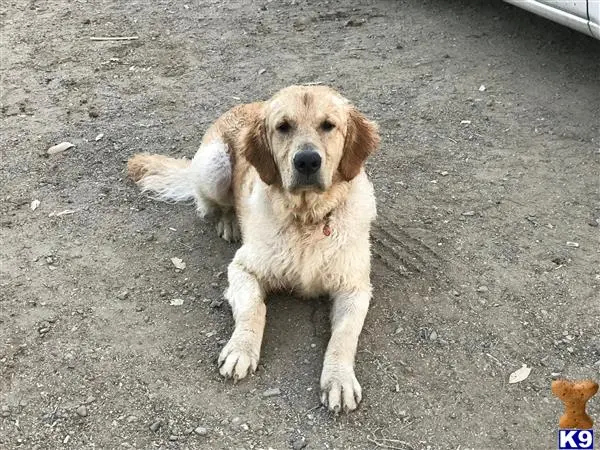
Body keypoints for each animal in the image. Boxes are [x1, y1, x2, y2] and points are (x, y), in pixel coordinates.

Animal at [126, 86, 380, 414]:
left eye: (328, 125)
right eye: (283, 127)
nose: (307, 161)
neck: (306, 218)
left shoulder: (355, 287)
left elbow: (344, 335)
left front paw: (339, 379)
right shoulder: (242, 269)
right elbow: (253, 309)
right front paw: (241, 349)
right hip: (214, 165)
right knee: (212, 203)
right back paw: (230, 222)